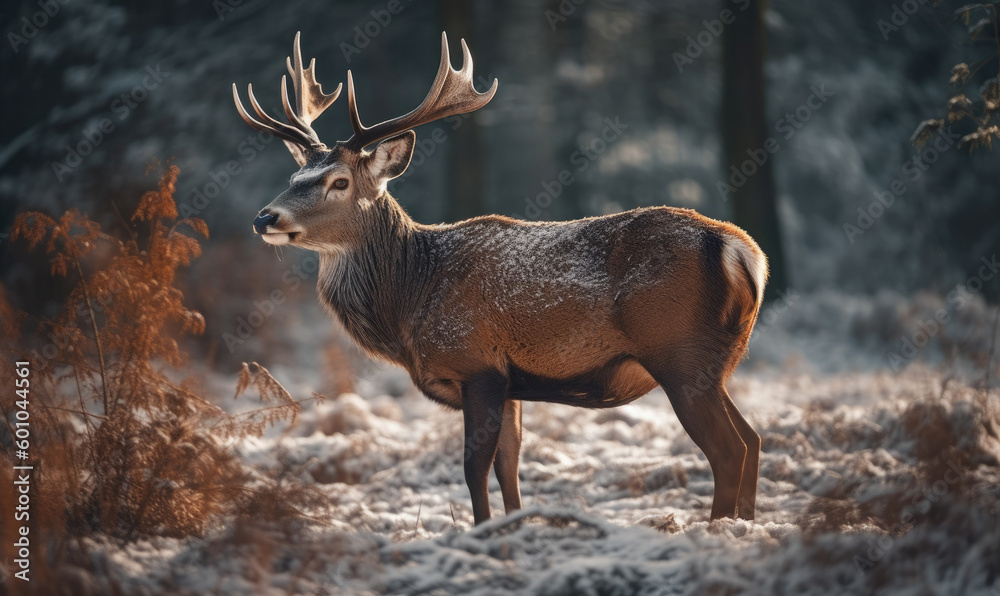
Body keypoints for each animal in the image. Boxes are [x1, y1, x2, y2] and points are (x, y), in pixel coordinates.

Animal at [232, 32, 767, 524]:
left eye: (339, 182)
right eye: (294, 177)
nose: (264, 217)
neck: (412, 295)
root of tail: (741, 251)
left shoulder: (476, 364)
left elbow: (474, 469)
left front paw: (484, 531)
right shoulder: (510, 383)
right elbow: (510, 467)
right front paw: (514, 524)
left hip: (678, 351)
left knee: (729, 449)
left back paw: (718, 529)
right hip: (717, 360)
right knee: (753, 438)